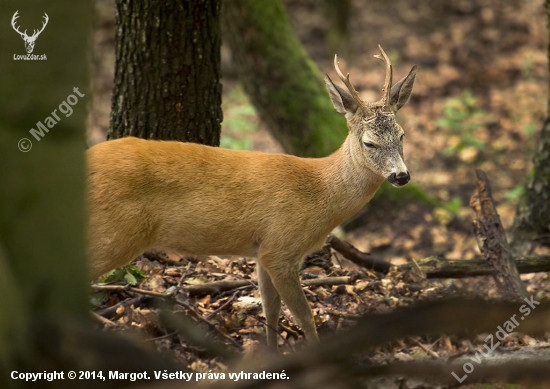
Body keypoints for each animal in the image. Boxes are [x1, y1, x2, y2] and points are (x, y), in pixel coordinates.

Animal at [88, 44, 418, 346]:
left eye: (402, 135)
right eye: (369, 143)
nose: (401, 176)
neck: (320, 193)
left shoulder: (262, 251)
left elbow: (270, 311)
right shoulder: (281, 249)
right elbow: (304, 316)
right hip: (114, 233)